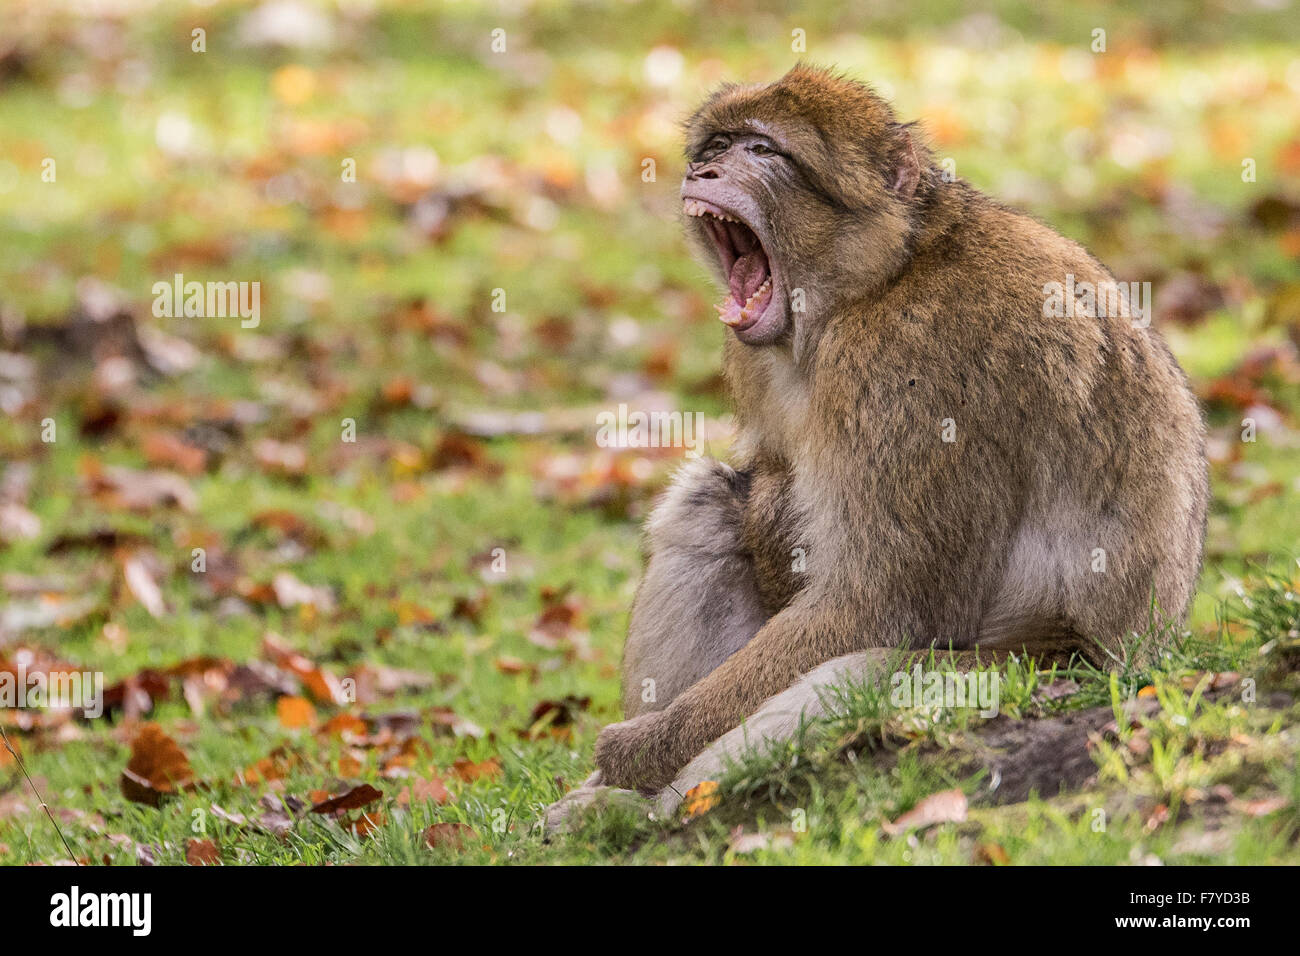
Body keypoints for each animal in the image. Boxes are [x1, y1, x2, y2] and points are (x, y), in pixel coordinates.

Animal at [557, 65, 1208, 808]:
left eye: (762, 151)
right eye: (718, 144)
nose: (704, 168)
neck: (879, 277)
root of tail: (1141, 658)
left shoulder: (910, 373)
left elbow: (880, 607)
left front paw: (640, 750)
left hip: (1031, 669)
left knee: (858, 670)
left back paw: (640, 811)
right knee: (705, 507)